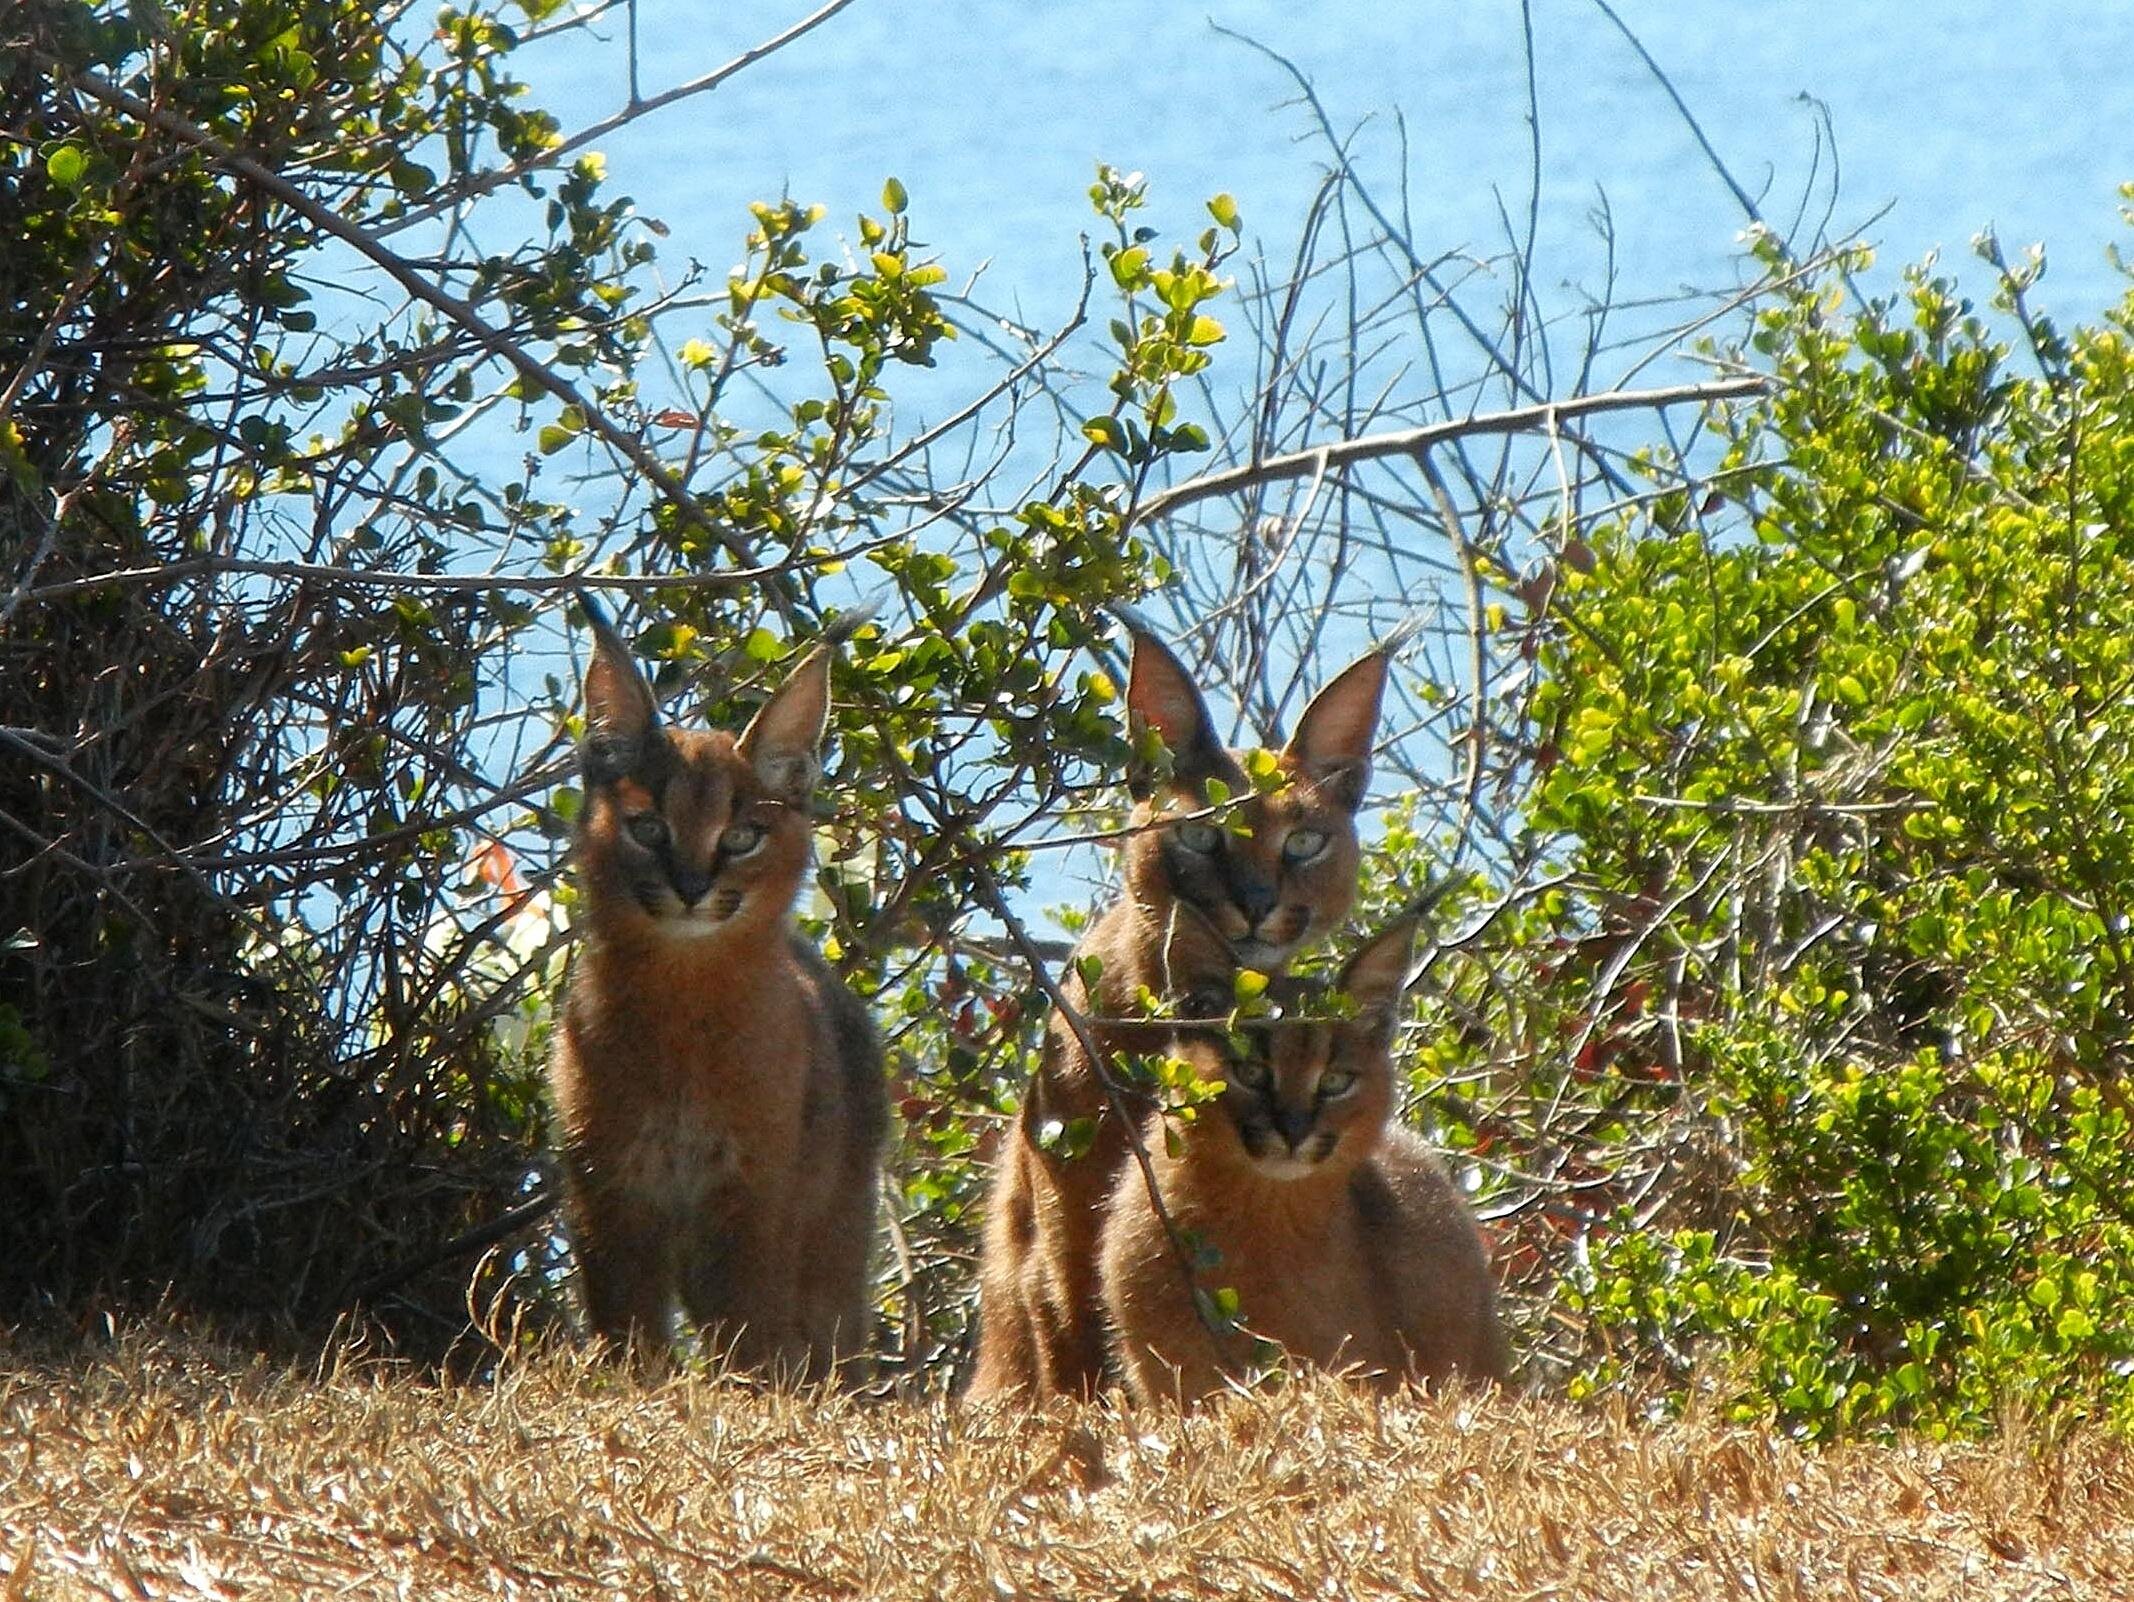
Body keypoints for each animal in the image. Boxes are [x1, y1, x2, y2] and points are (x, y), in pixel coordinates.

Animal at [554, 605, 887, 1382]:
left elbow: (751, 1325)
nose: (690, 888)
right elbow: (628, 1326)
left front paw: (749, 1391)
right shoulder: (610, 1191)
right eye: (647, 827)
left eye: (741, 837)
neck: (685, 995)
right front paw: (632, 1385)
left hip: (833, 1234)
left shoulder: (752, 1199)